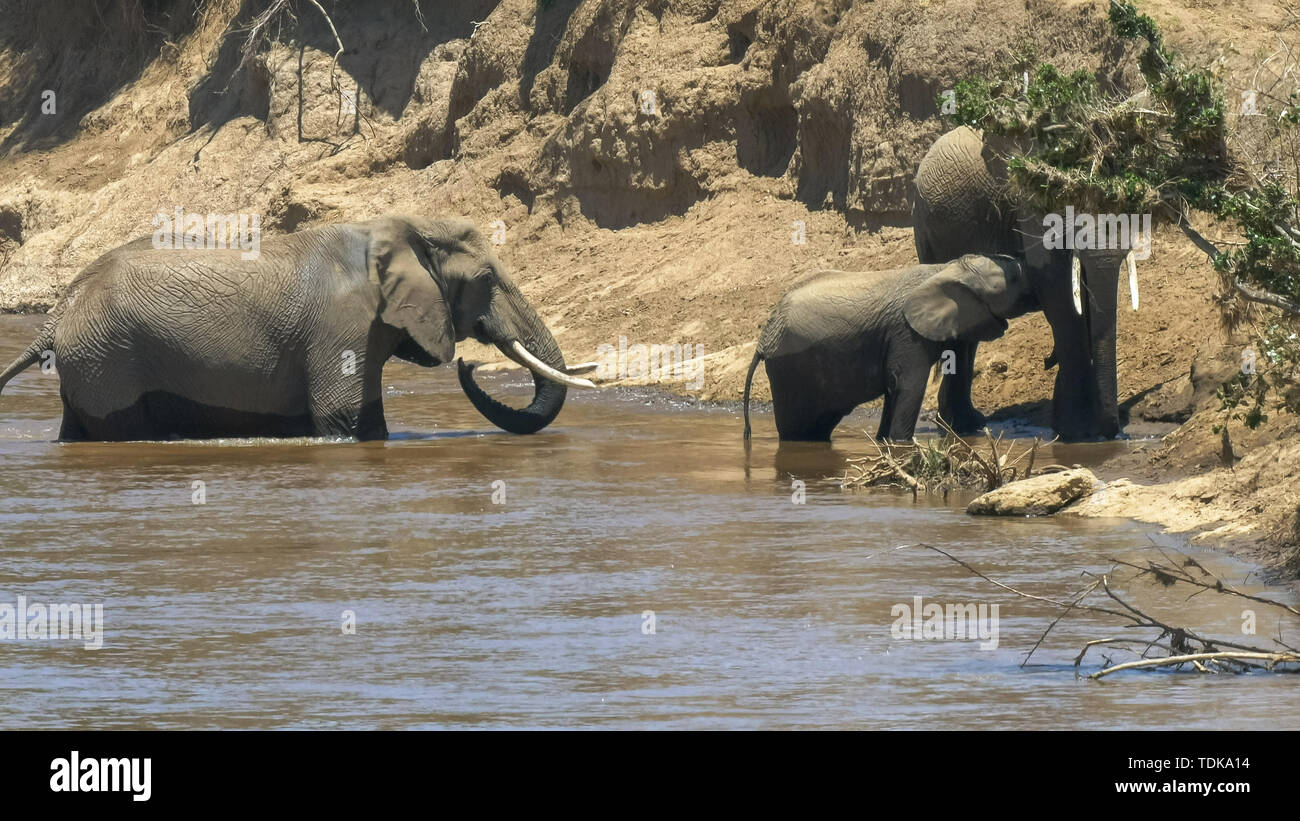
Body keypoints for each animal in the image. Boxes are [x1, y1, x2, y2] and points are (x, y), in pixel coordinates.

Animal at [0, 215, 596, 441]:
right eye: (487, 279)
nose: (470, 364)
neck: (402, 228)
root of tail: (55, 315)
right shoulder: (343, 329)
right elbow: (350, 418)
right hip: (109, 358)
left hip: (91, 361)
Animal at [742, 254, 1038, 442]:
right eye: (1013, 278)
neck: (945, 268)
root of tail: (764, 337)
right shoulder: (906, 332)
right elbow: (910, 385)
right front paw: (900, 445)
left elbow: (893, 389)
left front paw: (883, 440)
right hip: (790, 371)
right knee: (797, 430)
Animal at [913, 125, 1134, 440]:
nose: (1112, 433)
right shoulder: (1030, 204)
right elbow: (1058, 293)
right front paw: (1079, 432)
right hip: (928, 228)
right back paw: (961, 425)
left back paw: (965, 423)